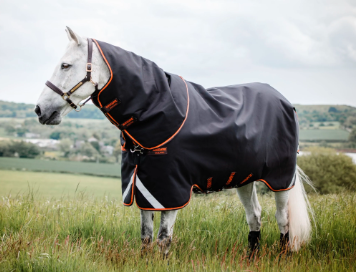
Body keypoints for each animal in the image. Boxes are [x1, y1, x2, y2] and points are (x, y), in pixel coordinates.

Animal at [34, 26, 312, 258]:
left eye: (65, 65)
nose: (39, 110)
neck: (157, 109)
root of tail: (283, 99)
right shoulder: (144, 186)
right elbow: (146, 237)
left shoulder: (171, 191)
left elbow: (163, 239)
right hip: (244, 178)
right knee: (254, 216)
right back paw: (251, 257)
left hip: (281, 179)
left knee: (283, 219)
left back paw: (284, 255)